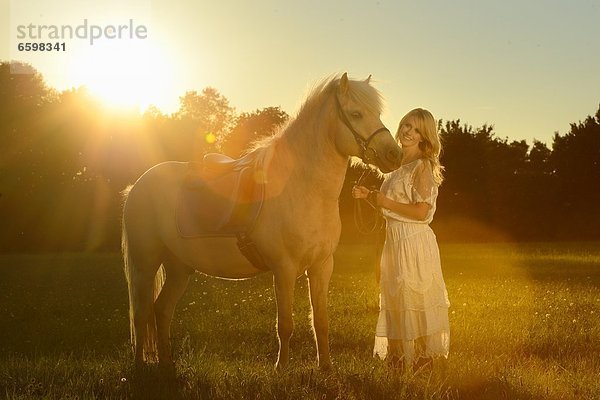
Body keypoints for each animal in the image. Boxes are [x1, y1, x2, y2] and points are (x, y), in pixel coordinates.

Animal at [121, 72, 400, 368]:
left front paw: (325, 366)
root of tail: (137, 186)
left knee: (161, 310)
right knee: (141, 314)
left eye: (377, 113)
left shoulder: (322, 266)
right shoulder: (284, 269)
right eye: (356, 114)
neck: (303, 188)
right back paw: (140, 367)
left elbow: (321, 322)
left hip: (179, 267)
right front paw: (282, 368)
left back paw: (166, 364)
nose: (395, 154)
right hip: (145, 264)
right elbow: (285, 325)